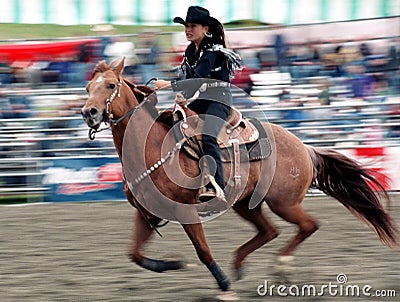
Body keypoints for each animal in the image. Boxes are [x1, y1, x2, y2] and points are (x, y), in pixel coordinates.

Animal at [80, 57, 396, 298]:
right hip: (246, 204)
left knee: (308, 225)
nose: (88, 112)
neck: (152, 147)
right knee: (270, 231)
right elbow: (134, 254)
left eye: (111, 85)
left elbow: (203, 251)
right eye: (87, 87)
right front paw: (174, 264)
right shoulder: (148, 212)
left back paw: (280, 266)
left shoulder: (186, 211)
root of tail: (304, 147)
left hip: (284, 202)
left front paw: (224, 286)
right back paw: (241, 264)